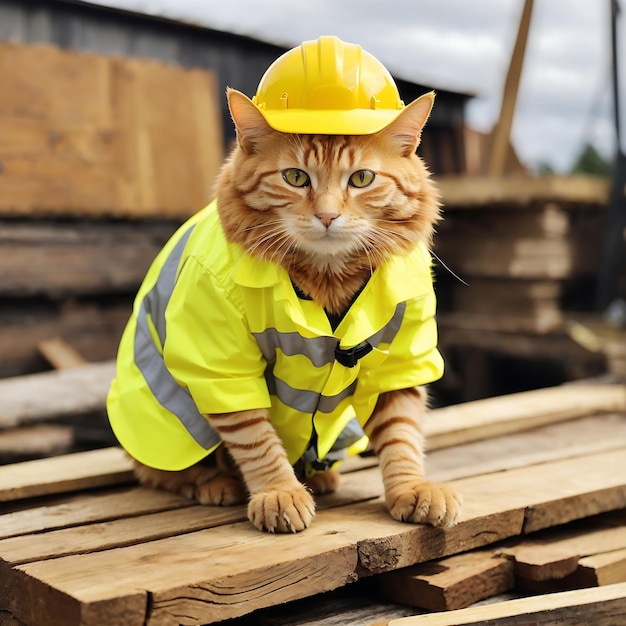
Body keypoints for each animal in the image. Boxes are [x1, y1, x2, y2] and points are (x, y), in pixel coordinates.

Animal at [106, 35, 458, 532]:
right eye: (295, 177)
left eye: (362, 178)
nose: (327, 215)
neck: (326, 278)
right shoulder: (222, 366)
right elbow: (255, 437)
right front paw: (278, 492)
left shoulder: (401, 360)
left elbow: (402, 433)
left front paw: (411, 488)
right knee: (157, 471)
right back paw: (214, 484)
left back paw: (320, 476)